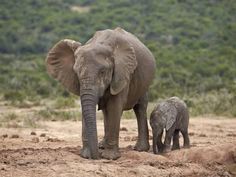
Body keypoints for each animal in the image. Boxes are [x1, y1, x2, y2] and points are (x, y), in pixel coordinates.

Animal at [46, 27, 157, 160]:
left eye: (103, 72)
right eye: (76, 72)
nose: (96, 156)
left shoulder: (122, 73)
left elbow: (115, 106)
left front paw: (110, 157)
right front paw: (87, 155)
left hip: (144, 82)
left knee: (140, 107)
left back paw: (140, 149)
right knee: (106, 111)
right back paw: (102, 145)